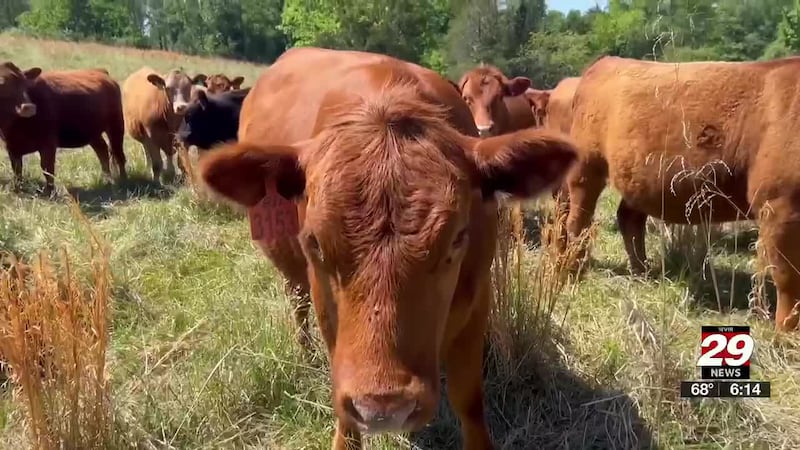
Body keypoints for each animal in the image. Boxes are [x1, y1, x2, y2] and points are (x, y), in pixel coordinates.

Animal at [0, 62, 127, 193]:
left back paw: (123, 181)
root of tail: (101, 71)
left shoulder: (48, 143)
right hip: (92, 132)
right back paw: (106, 180)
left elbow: (47, 168)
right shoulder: (11, 147)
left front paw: (50, 191)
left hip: (116, 125)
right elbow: (17, 170)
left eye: (26, 85)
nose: (28, 107)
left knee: (118, 154)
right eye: (2, 84)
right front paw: (17, 188)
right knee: (102, 150)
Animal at [197, 47, 578, 449]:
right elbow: (344, 411)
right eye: (314, 241)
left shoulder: (478, 299)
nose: (384, 408)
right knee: (297, 299)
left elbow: (468, 398)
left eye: (458, 237)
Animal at [566, 55, 800, 332]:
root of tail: (606, 62)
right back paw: (573, 269)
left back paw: (641, 271)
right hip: (586, 168)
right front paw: (787, 331)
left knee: (629, 219)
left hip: (637, 179)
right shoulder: (780, 206)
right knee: (578, 220)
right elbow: (788, 275)